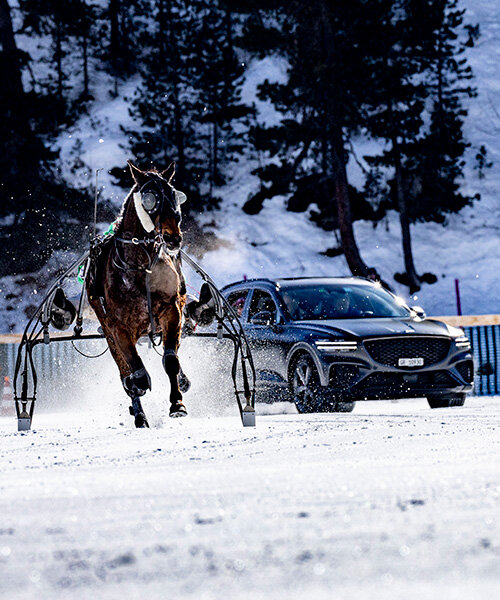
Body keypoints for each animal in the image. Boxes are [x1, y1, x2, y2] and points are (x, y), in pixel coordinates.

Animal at [86, 162, 189, 428]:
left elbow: (171, 360)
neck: (141, 267)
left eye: (174, 194)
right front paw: (138, 390)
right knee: (125, 371)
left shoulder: (172, 310)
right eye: (150, 198)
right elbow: (135, 373)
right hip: (108, 333)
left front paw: (177, 404)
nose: (173, 238)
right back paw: (140, 414)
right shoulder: (118, 327)